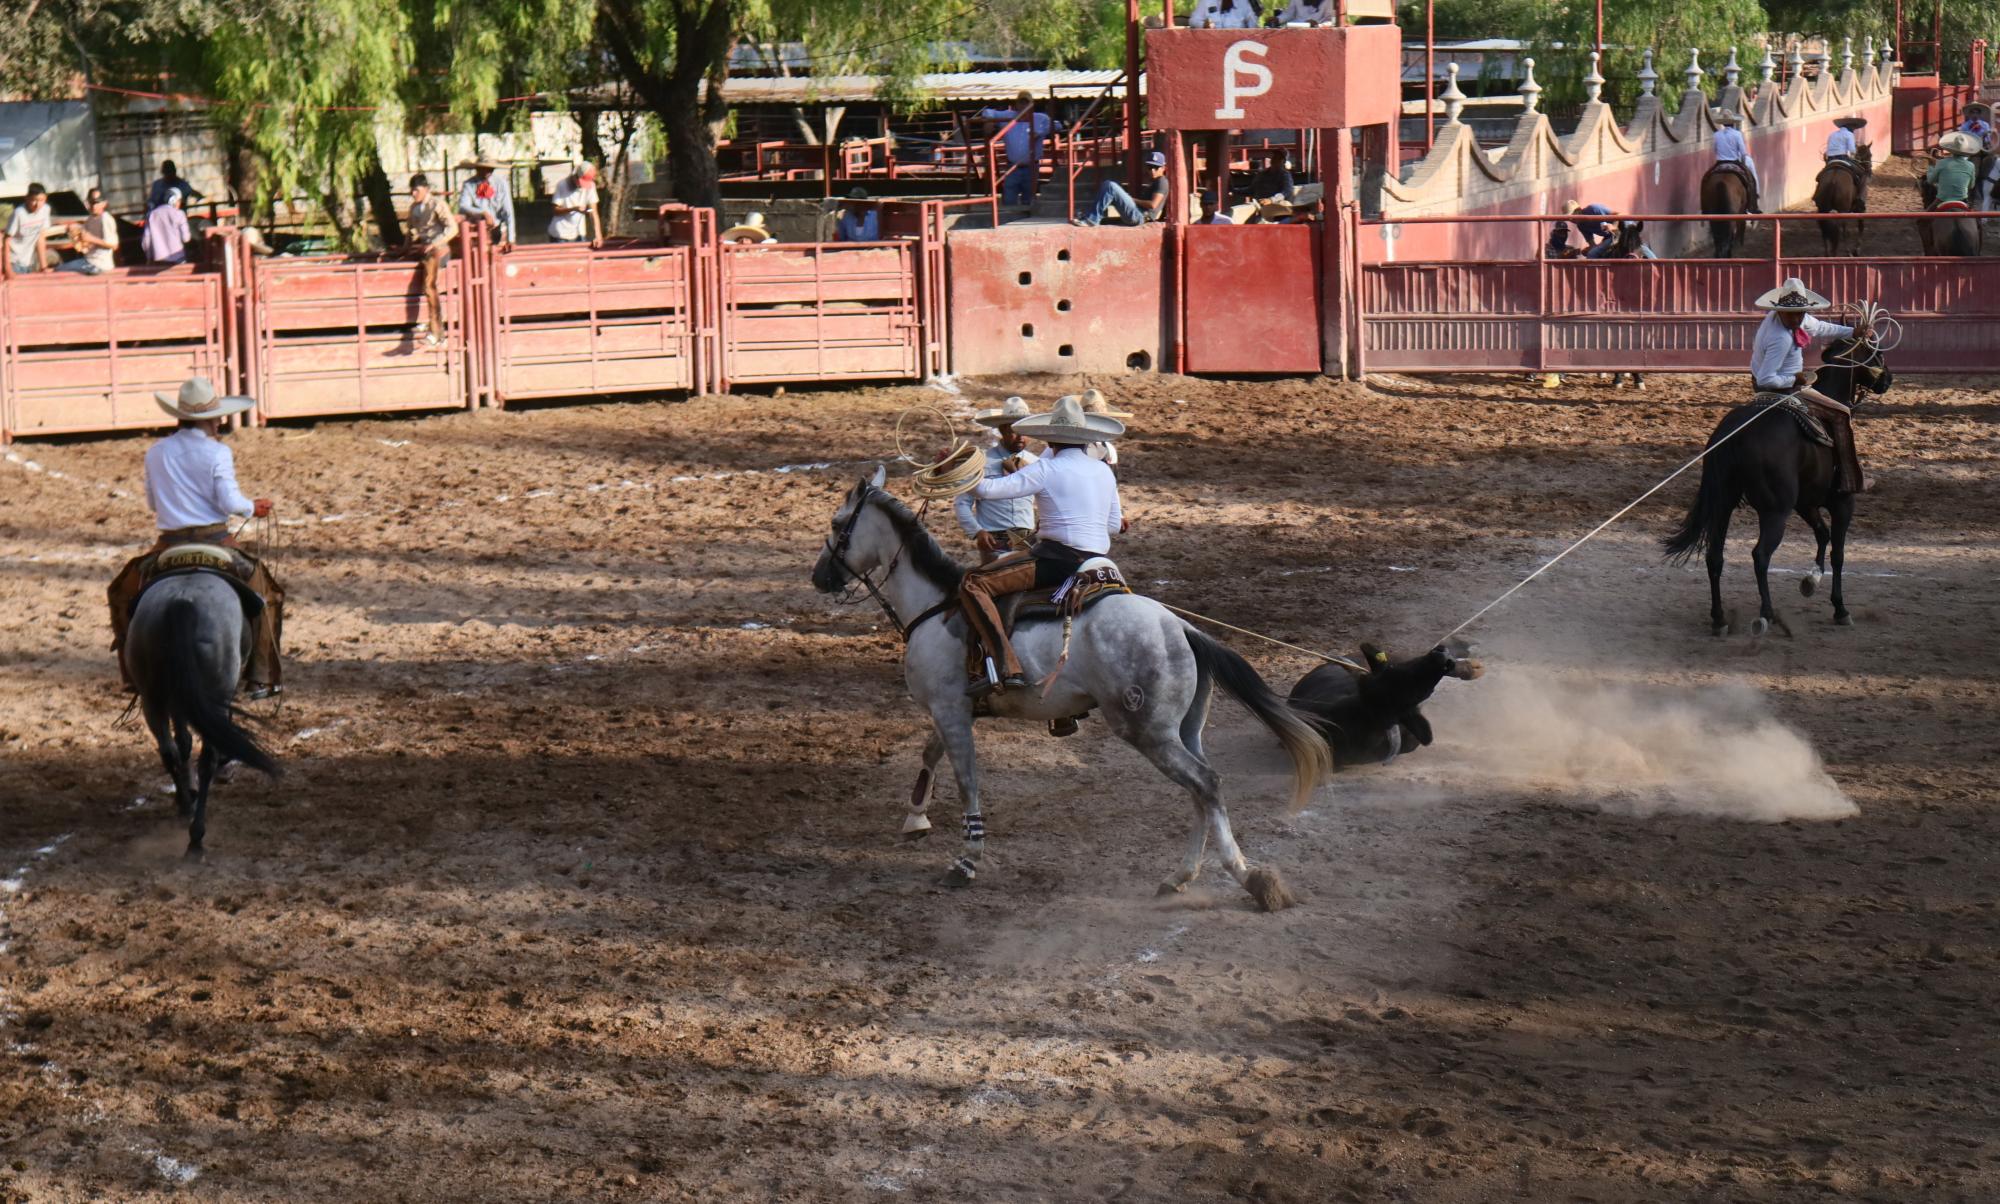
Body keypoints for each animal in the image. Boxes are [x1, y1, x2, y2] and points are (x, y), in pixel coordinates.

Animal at [125, 568, 280, 852]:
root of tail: (182, 604)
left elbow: (183, 743)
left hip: (153, 698)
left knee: (169, 750)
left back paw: (185, 806)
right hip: (214, 690)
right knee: (206, 759)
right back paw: (195, 840)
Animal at [804, 468, 1336, 908]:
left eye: (836, 522)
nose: (819, 577)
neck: (938, 607)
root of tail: (1182, 628)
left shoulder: (952, 711)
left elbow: (967, 780)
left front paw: (967, 860)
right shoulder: (953, 709)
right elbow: (929, 754)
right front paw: (916, 816)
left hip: (1148, 733)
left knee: (1205, 785)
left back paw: (1247, 878)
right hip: (1185, 731)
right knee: (1201, 793)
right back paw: (1181, 876)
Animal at [1672, 332, 1888, 632]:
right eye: (1877, 353)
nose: (1888, 379)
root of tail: (1733, 432)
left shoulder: (1805, 503)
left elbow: (1822, 534)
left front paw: (1810, 581)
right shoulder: (1842, 503)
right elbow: (1838, 553)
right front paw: (1840, 608)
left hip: (1724, 503)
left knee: (1714, 556)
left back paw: (1720, 619)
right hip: (1775, 512)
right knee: (1761, 555)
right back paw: (1766, 614)